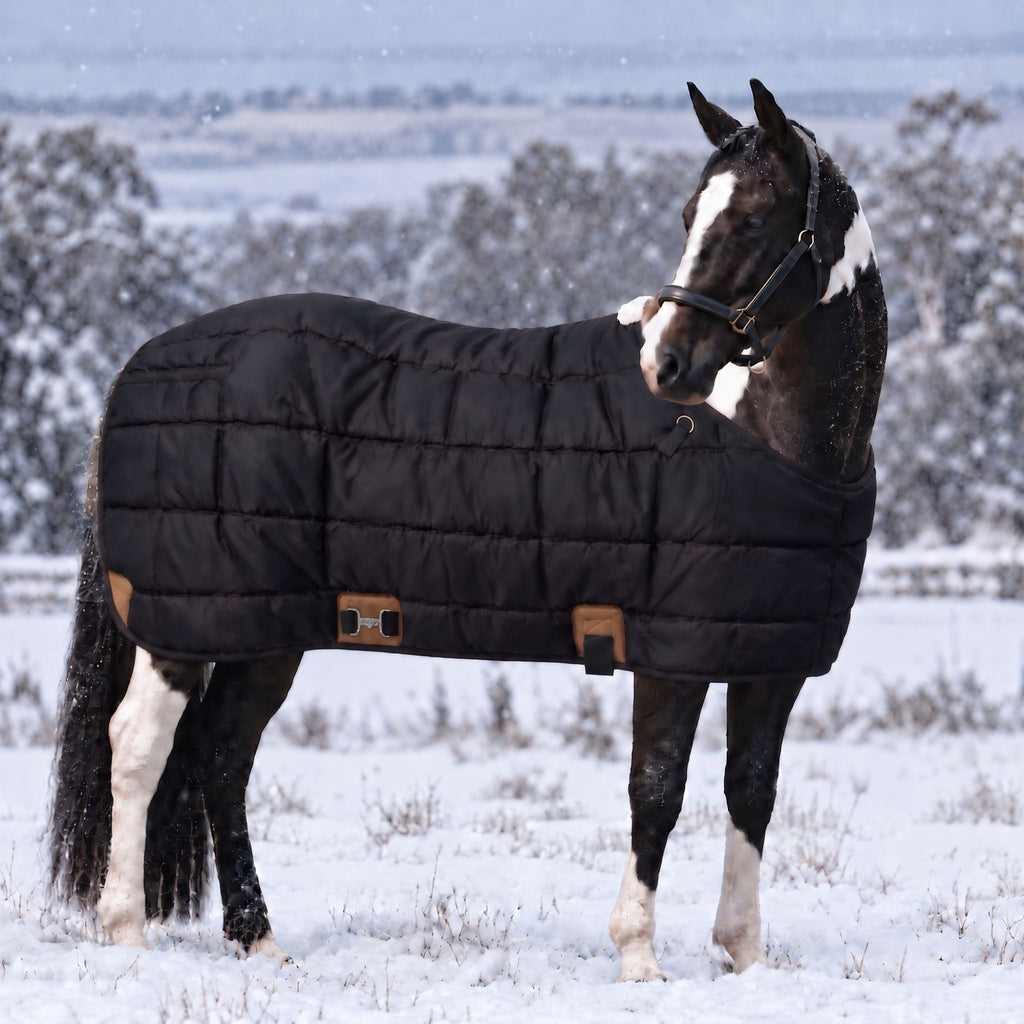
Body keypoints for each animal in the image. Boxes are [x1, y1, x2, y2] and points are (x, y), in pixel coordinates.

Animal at [47, 79, 886, 981]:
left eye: (755, 221)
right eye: (693, 215)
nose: (665, 366)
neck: (760, 434)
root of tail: (139, 366)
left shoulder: (771, 658)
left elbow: (750, 791)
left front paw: (744, 954)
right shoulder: (674, 652)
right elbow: (656, 790)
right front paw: (639, 959)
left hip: (265, 632)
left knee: (221, 753)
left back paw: (258, 939)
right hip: (187, 625)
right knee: (140, 745)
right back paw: (128, 933)